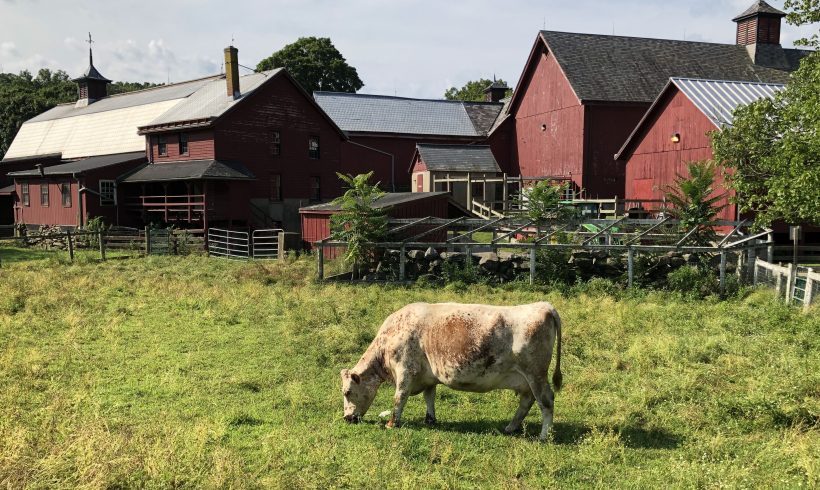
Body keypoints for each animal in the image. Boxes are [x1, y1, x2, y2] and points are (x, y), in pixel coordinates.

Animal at [342, 300, 564, 442]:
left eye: (347, 392)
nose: (346, 418)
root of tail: (544, 306)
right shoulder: (428, 375)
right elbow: (429, 397)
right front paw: (430, 420)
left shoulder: (405, 370)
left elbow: (399, 398)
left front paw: (391, 423)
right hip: (526, 380)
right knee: (527, 401)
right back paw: (510, 427)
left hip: (536, 374)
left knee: (546, 401)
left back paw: (544, 436)